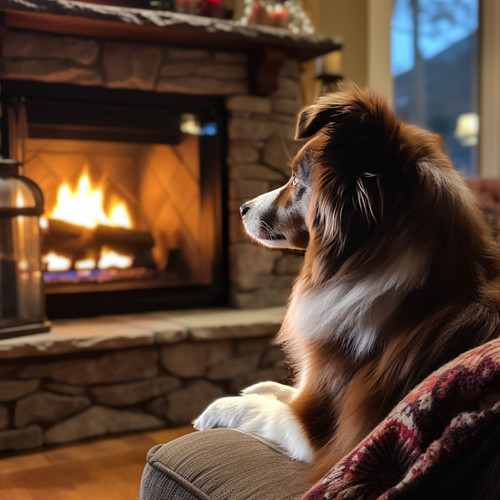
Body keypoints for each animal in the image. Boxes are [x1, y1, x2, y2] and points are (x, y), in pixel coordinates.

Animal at [194, 82, 500, 480]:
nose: (242, 208)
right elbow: (285, 389)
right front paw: (259, 387)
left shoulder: (317, 433)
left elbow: (259, 409)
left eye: (296, 180)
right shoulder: (315, 392)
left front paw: (218, 408)